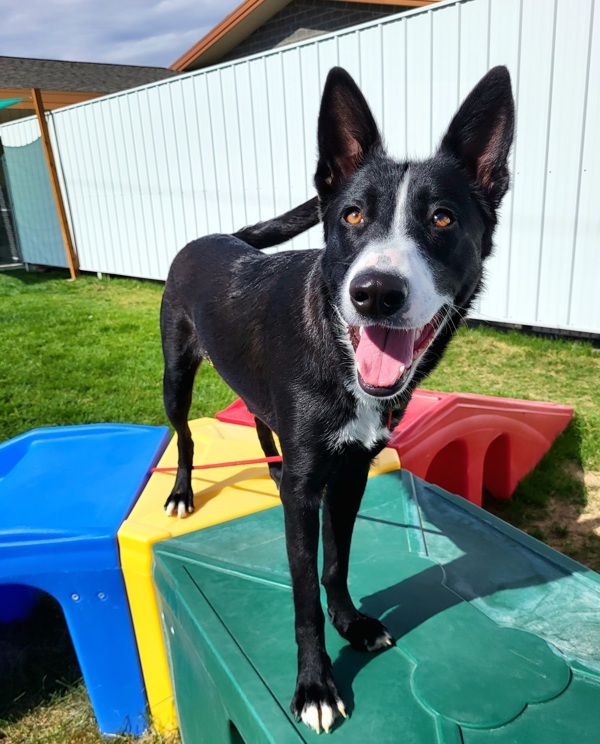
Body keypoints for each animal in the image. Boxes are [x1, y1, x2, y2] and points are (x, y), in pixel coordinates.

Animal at [161, 68, 516, 732]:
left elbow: (336, 561)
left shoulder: (351, 471)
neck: (339, 347)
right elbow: (303, 593)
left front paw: (351, 623)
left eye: (443, 220)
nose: (376, 292)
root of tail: (219, 236)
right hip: (176, 376)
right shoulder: (308, 492)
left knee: (262, 425)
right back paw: (180, 493)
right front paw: (315, 685)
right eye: (351, 215)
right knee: (186, 434)